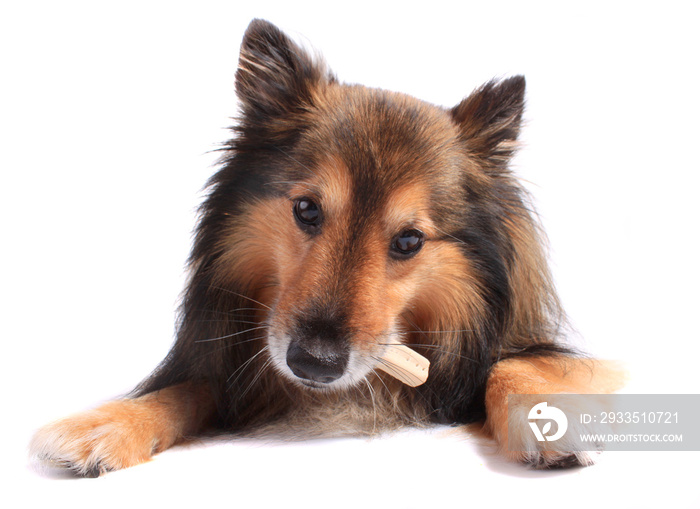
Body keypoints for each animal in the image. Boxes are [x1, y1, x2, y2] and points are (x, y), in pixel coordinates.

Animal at [28, 17, 616, 474]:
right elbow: (187, 389)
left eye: (409, 240)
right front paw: (107, 422)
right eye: (307, 209)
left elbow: (510, 367)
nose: (314, 364)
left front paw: (549, 420)